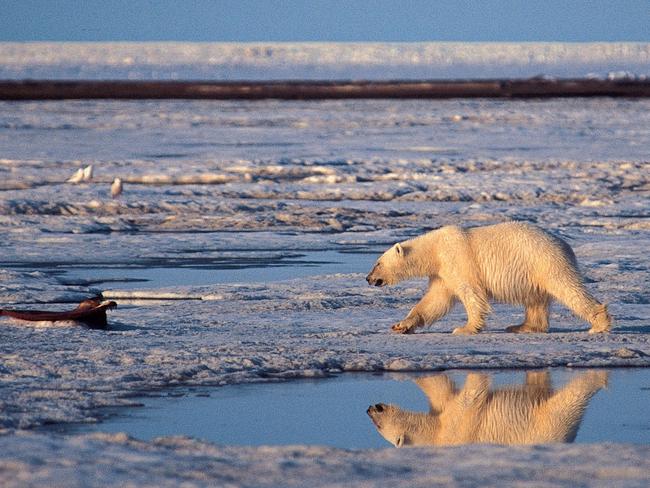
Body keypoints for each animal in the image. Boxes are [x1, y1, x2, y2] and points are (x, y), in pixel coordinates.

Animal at [368, 222, 612, 334]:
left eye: (377, 263)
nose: (369, 279)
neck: (435, 250)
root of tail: (565, 245)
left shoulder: (458, 260)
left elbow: (471, 293)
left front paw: (464, 329)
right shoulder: (442, 273)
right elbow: (435, 301)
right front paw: (401, 325)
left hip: (545, 261)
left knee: (567, 288)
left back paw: (598, 324)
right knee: (536, 299)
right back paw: (521, 326)